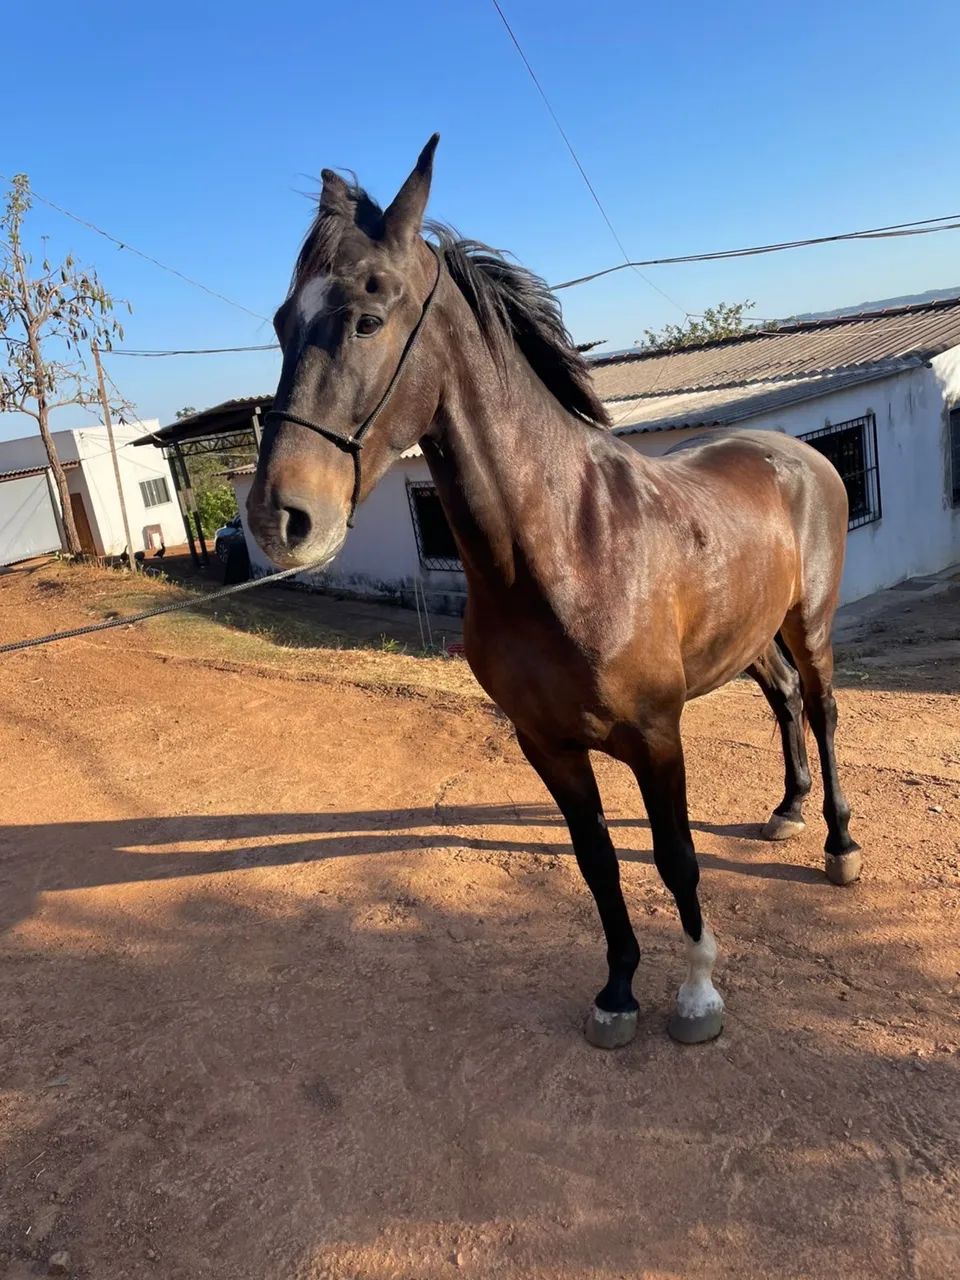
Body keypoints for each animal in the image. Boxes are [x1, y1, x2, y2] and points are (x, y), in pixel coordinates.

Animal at [247, 136, 860, 1050]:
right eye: (284, 324)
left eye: (368, 317)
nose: (279, 518)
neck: (568, 546)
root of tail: (798, 452)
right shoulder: (547, 745)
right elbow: (598, 863)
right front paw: (618, 992)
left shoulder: (656, 736)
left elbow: (676, 858)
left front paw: (698, 994)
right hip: (748, 640)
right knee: (783, 699)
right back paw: (787, 808)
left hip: (807, 623)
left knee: (819, 709)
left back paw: (839, 846)